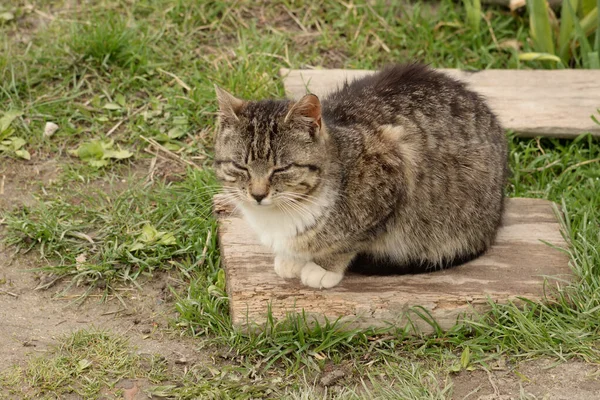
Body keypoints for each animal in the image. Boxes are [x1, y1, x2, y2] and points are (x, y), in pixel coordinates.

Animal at [213, 62, 508, 290]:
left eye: (281, 169)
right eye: (240, 167)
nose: (257, 194)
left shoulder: (395, 171)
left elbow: (349, 241)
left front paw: (323, 267)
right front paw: (292, 257)